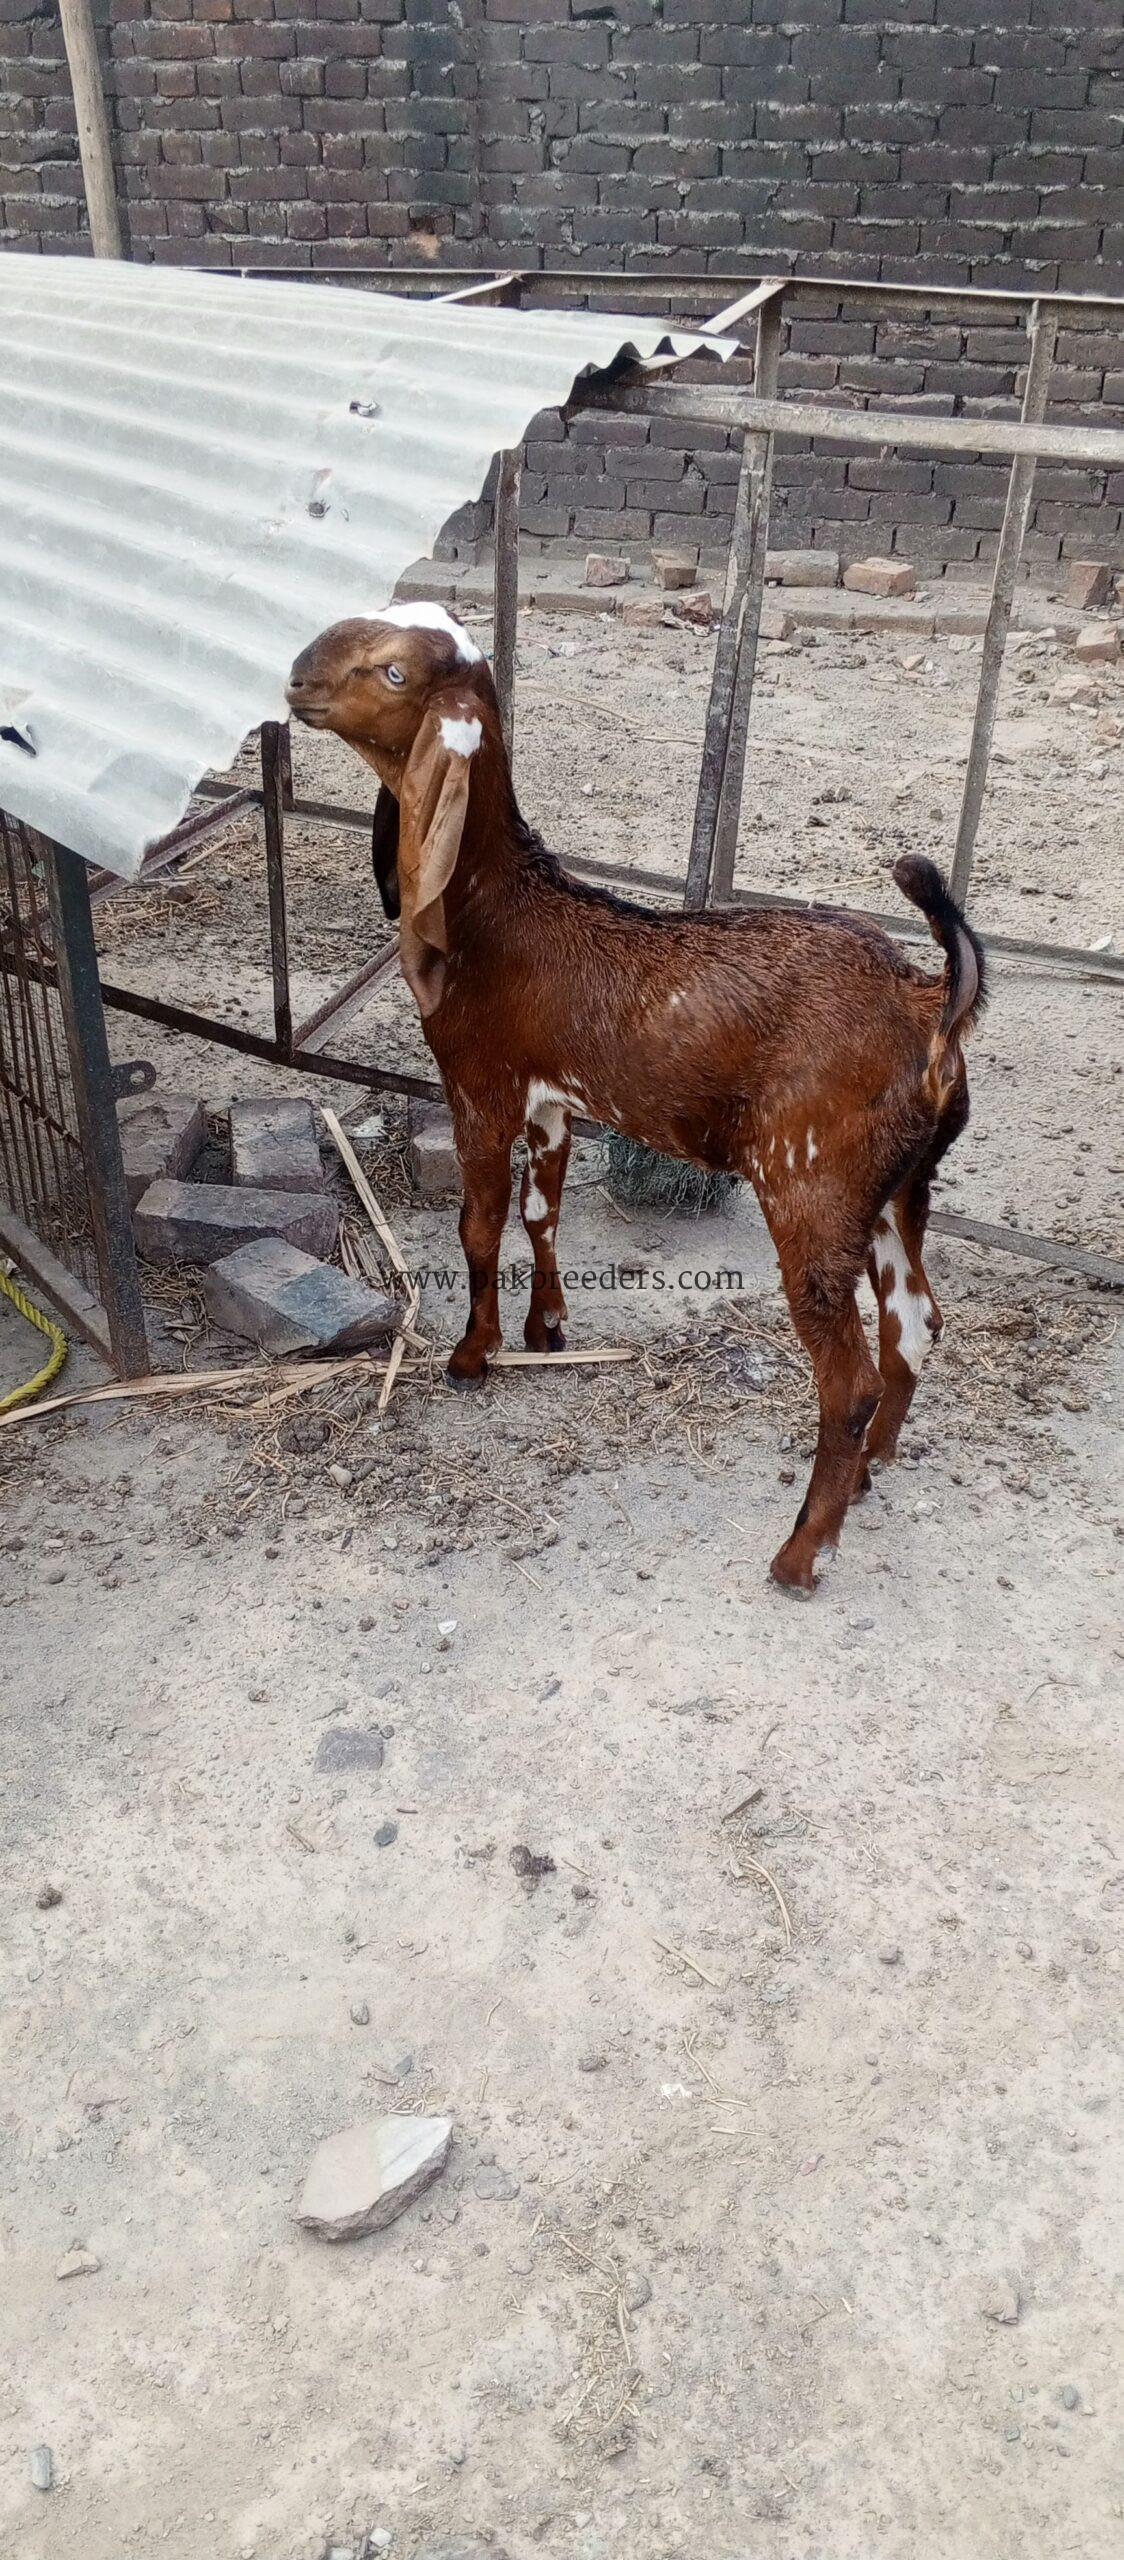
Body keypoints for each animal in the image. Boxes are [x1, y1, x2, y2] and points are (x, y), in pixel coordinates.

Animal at [287, 603, 986, 1591]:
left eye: (392, 673)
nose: (296, 679)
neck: (494, 910)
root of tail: (929, 999)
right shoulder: (554, 1100)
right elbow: (542, 1211)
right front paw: (547, 1328)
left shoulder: (479, 1081)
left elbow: (479, 1222)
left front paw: (472, 1355)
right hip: (898, 1188)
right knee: (917, 1323)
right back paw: (868, 1474)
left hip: (812, 1184)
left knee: (846, 1379)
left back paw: (801, 1550)